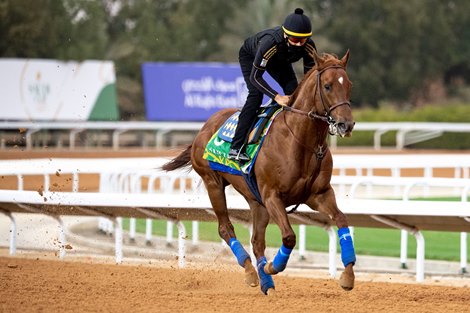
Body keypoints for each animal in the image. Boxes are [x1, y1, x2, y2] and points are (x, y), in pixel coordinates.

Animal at [162, 50, 356, 294]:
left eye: (348, 84)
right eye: (328, 86)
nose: (346, 124)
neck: (300, 141)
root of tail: (204, 127)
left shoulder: (319, 194)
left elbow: (341, 220)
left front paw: (348, 275)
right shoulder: (272, 195)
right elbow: (289, 237)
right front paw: (273, 266)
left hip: (256, 200)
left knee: (256, 241)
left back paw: (266, 283)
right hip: (213, 183)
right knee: (226, 228)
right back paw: (252, 272)